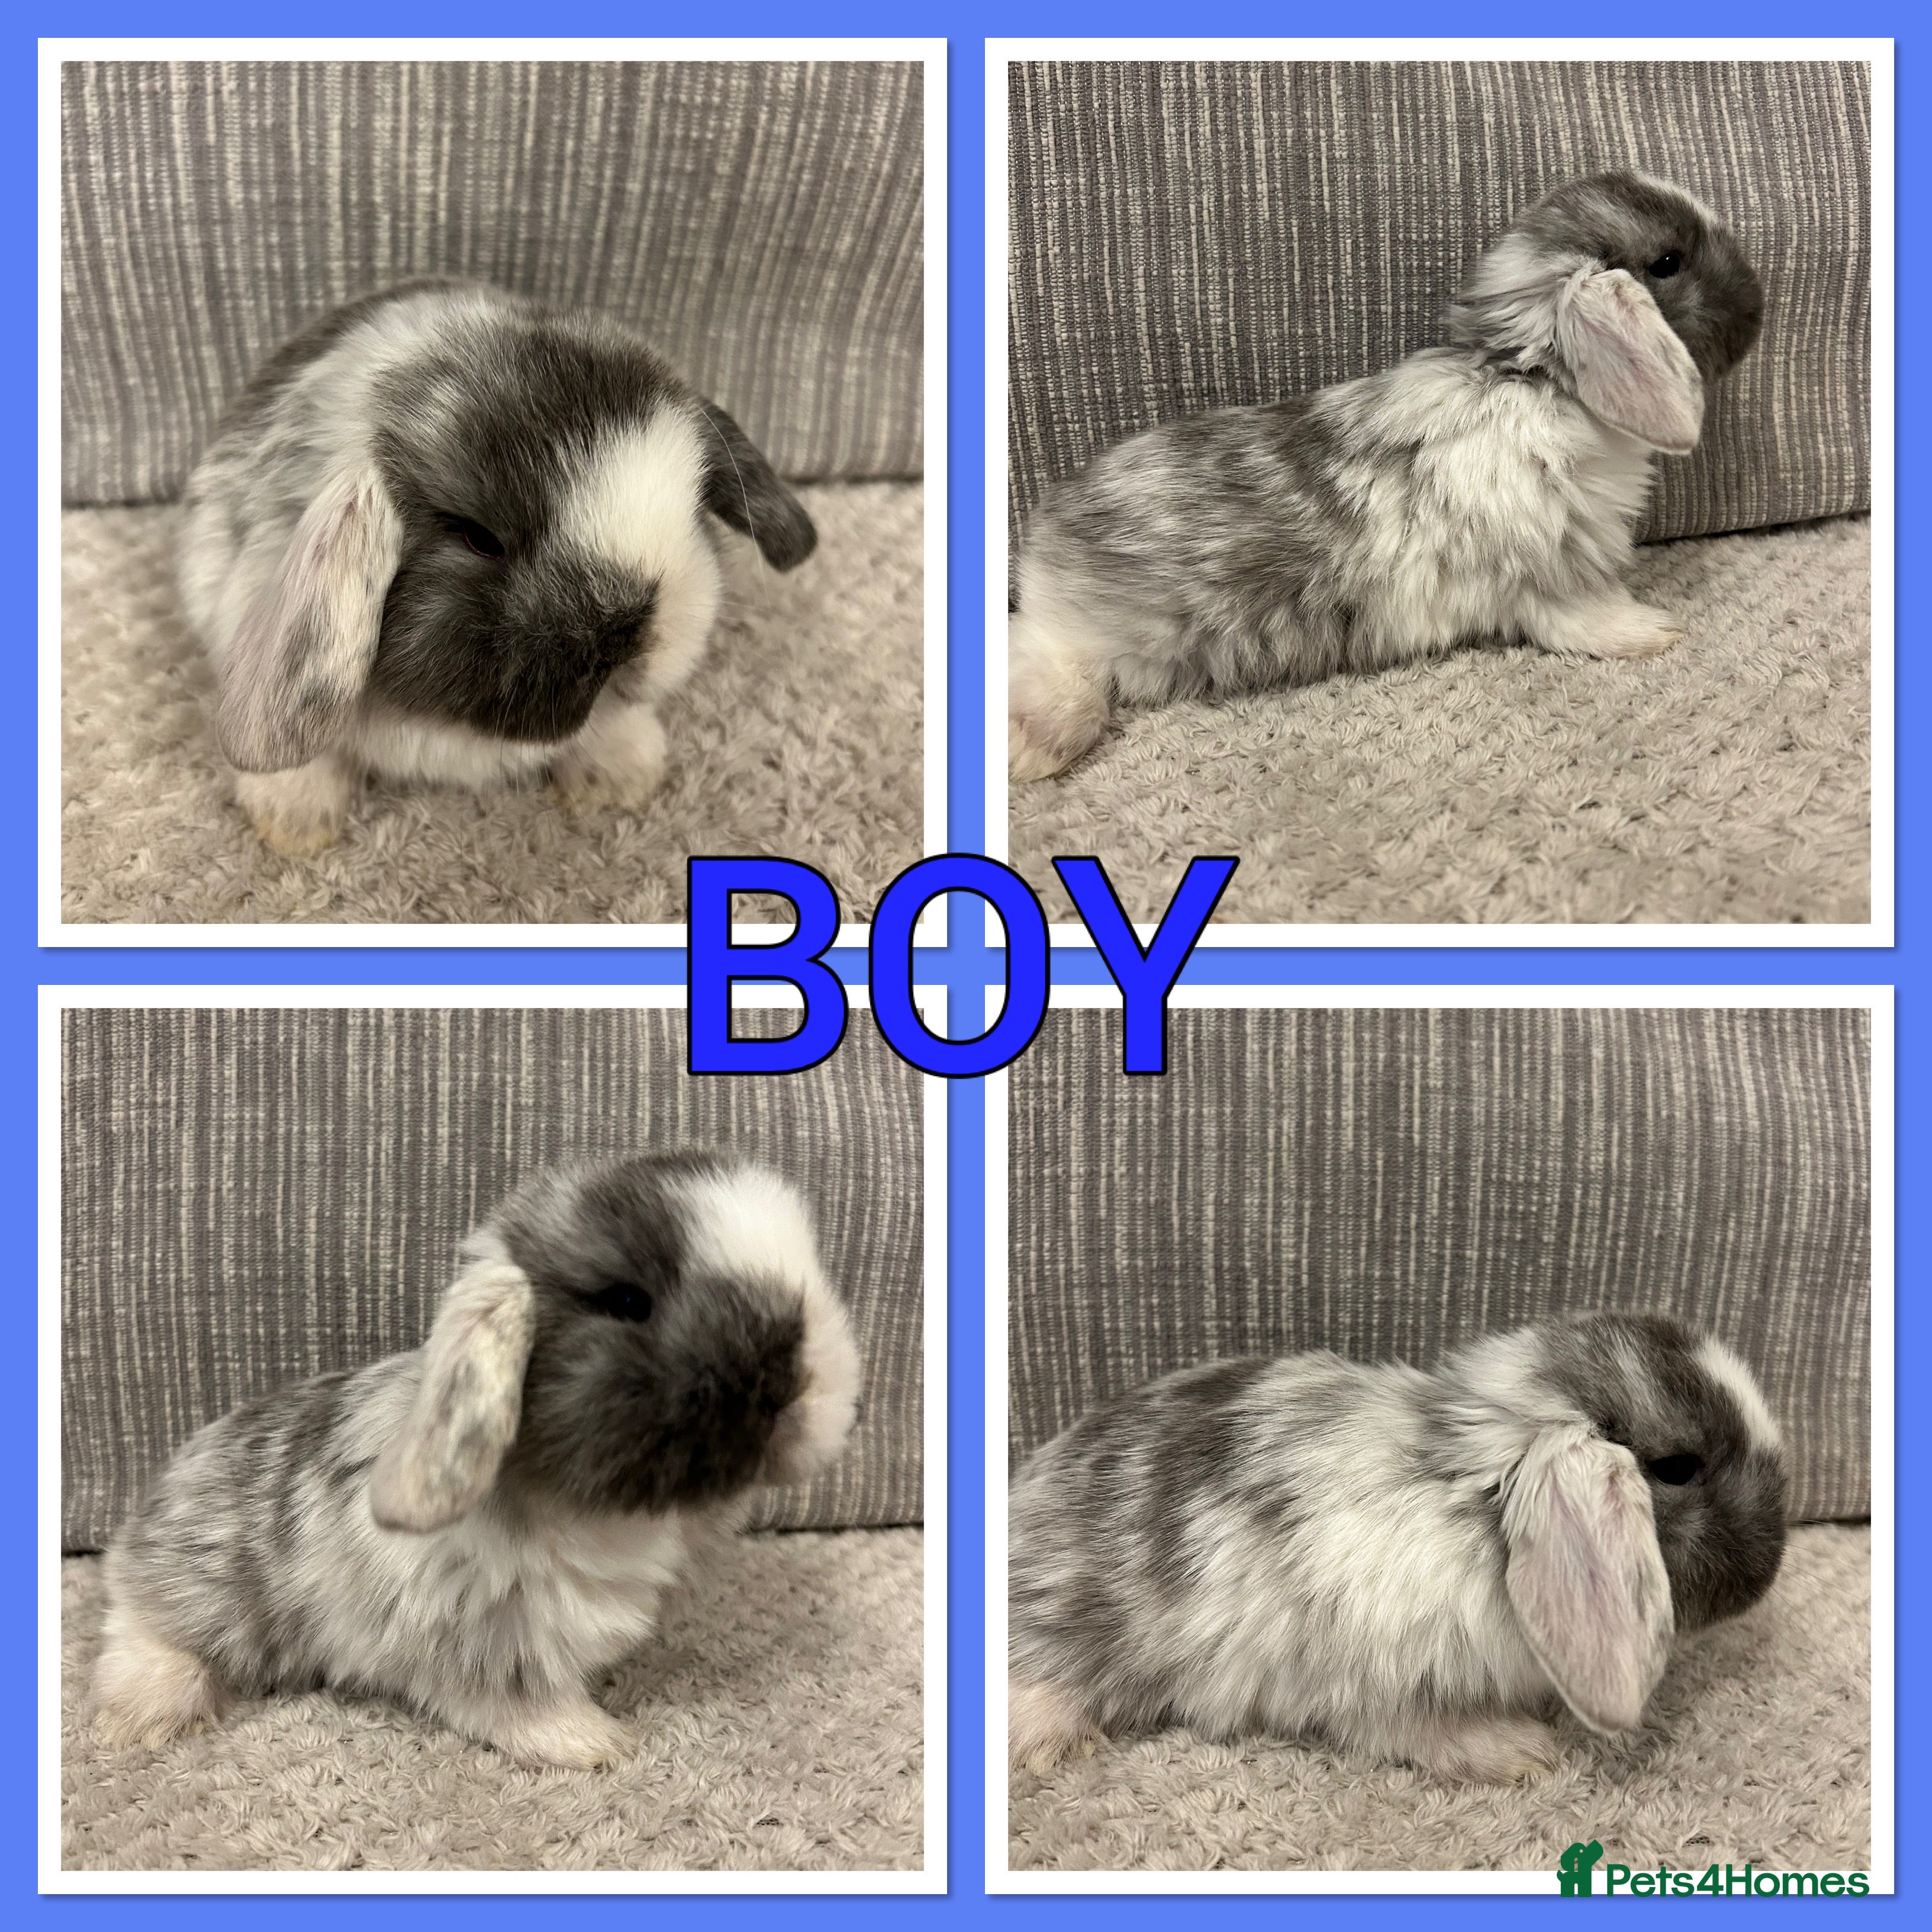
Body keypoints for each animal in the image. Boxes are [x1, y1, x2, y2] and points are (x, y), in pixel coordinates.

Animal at [90, 1150, 860, 1768]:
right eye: (626, 1300)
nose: (797, 1389)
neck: (580, 1510)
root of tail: (144, 1509)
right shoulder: (481, 1642)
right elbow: (517, 1705)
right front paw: (596, 1744)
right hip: (199, 1596)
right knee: (141, 1633)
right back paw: (139, 1724)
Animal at [1008, 1312, 1787, 1783]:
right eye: (1677, 1467)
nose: (1769, 1575)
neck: (1475, 1509)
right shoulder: (1378, 1684)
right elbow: (1419, 1732)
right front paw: (1521, 1752)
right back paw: (1055, 1742)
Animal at [1009, 172, 1764, 779]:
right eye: (1667, 262)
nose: (1760, 302)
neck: (1530, 380)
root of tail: (1043, 550)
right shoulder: (1549, 565)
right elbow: (1579, 617)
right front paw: (1654, 632)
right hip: (1096, 645)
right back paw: (1030, 753)